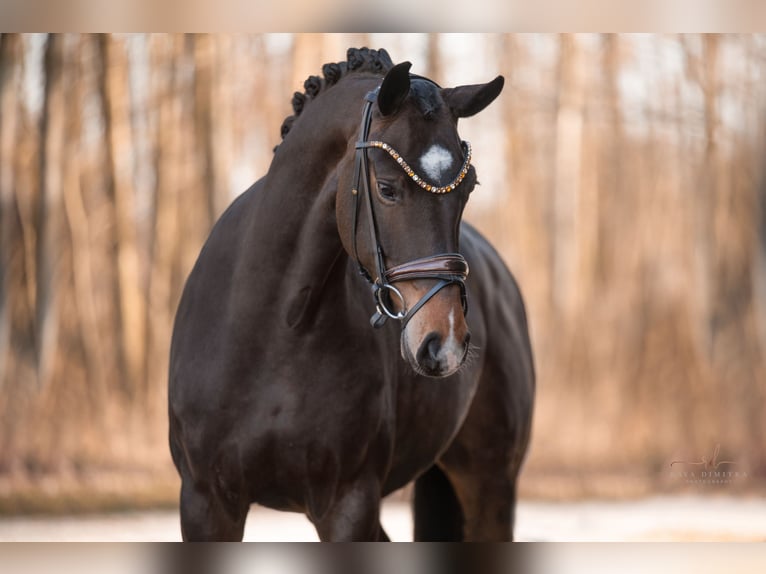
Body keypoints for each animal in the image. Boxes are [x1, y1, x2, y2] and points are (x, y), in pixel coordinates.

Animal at [168, 47, 536, 544]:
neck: (277, 328)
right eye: (387, 188)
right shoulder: (206, 504)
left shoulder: (349, 503)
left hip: (490, 483)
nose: (445, 343)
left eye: (468, 187)